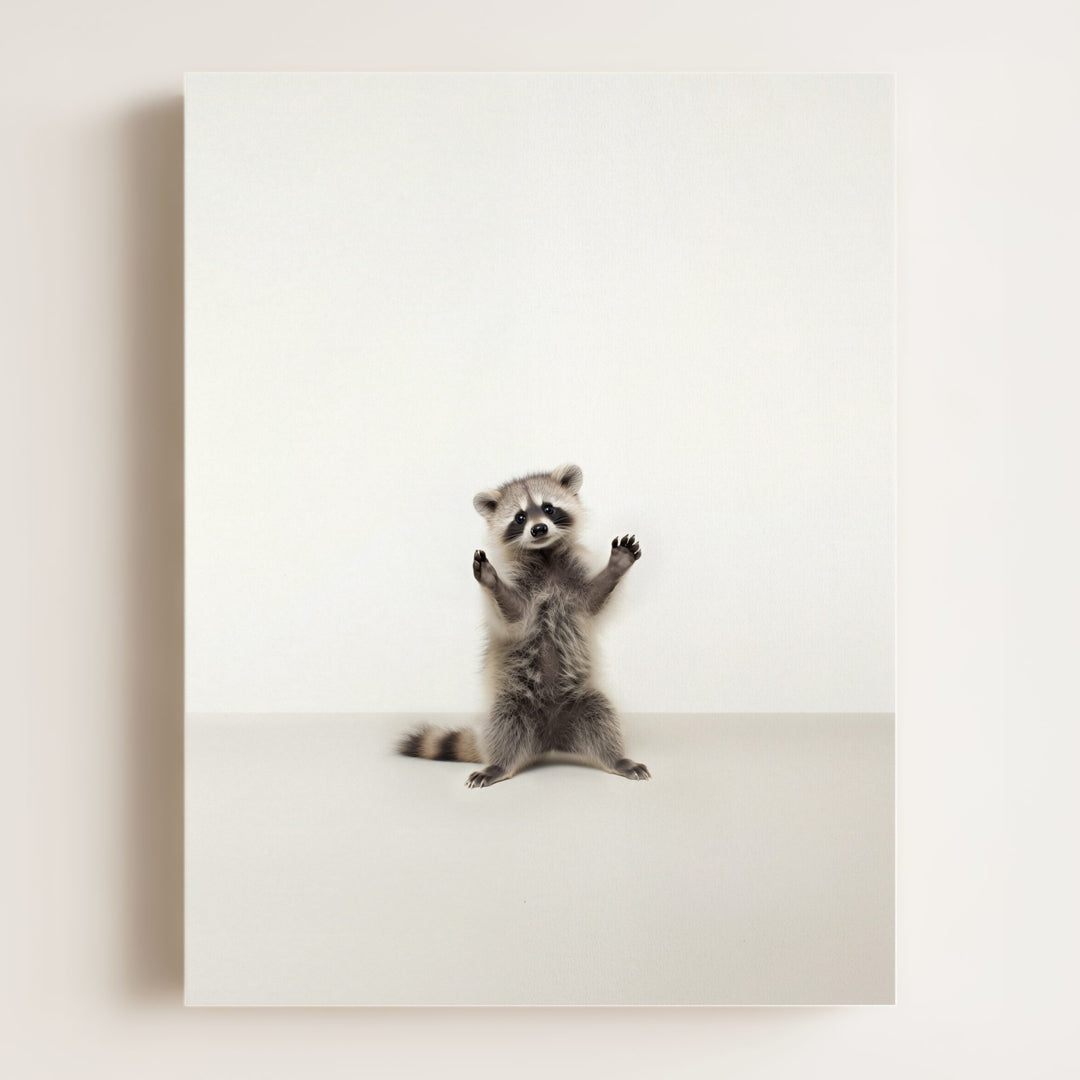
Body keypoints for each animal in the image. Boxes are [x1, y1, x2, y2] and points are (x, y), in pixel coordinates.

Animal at [397, 463, 649, 788]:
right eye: (519, 517)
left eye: (548, 508)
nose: (539, 529)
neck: (546, 554)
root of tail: (551, 740)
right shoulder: (522, 590)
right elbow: (514, 615)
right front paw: (492, 581)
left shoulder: (574, 584)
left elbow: (594, 601)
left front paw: (616, 566)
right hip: (512, 702)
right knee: (504, 726)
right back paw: (499, 764)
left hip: (583, 698)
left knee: (603, 716)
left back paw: (617, 759)